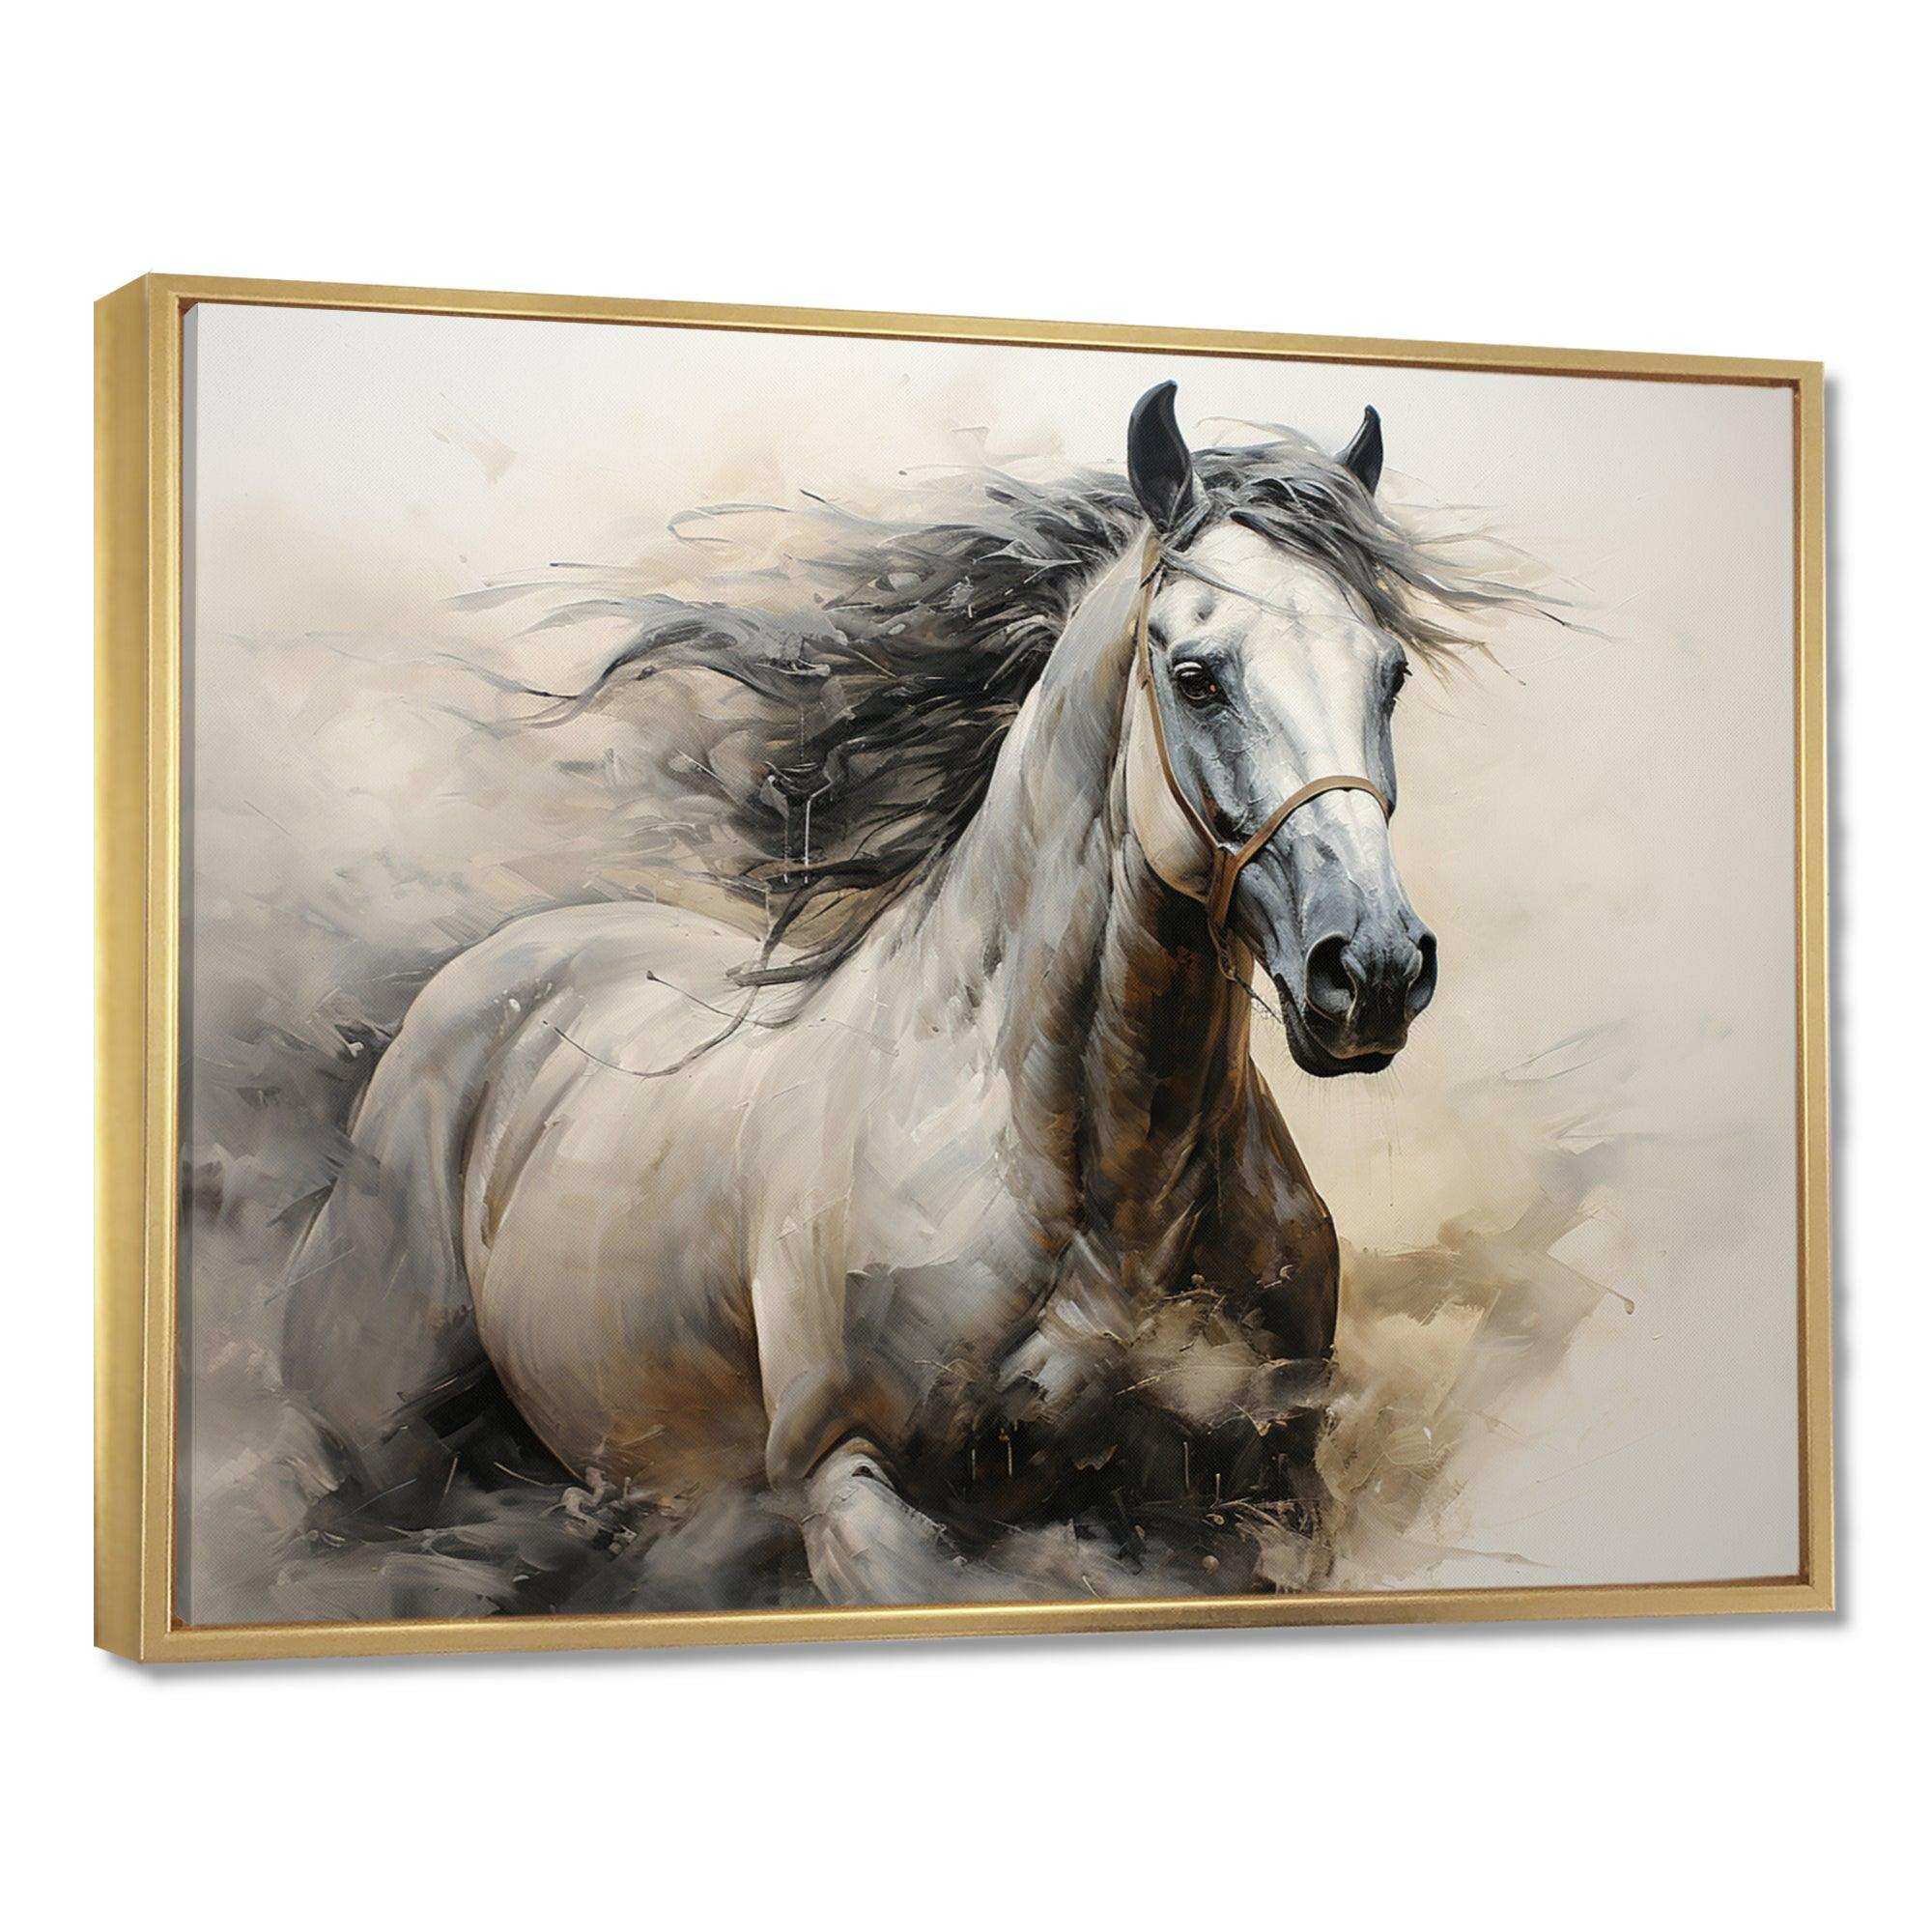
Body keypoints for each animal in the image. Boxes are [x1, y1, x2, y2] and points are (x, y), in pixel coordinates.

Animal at [277, 382, 1507, 1607]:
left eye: (1388, 673)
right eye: (1196, 676)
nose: (1373, 969)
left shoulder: (1260, 1507)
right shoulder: (852, 1487)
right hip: (385, 1469)